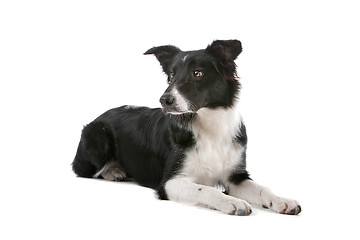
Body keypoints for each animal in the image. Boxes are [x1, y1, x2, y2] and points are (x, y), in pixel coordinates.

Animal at [71, 39, 300, 216]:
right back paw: (113, 171)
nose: (164, 100)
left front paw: (283, 200)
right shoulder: (169, 182)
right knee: (84, 170)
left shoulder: (235, 176)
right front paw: (232, 202)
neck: (209, 125)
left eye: (197, 73)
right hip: (98, 140)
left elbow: (262, 189)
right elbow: (206, 190)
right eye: (171, 75)